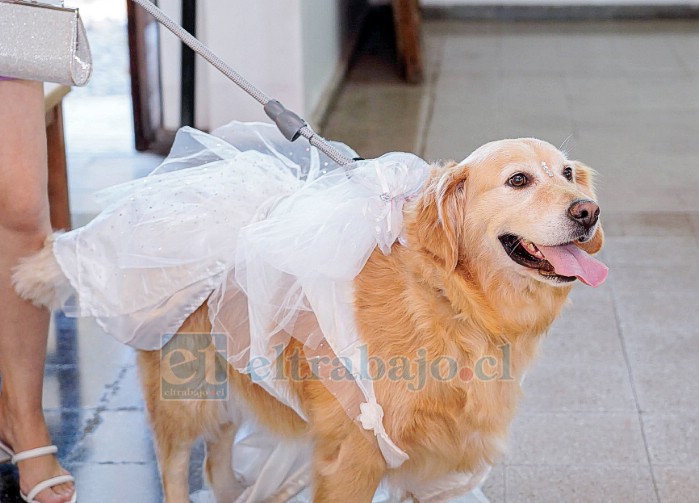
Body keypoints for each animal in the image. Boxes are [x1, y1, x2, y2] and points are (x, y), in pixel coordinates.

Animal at [16, 138, 608, 503]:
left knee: (216, 456)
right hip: (187, 391)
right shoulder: (355, 456)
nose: (588, 211)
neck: (446, 300)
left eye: (568, 173)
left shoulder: (439, 460)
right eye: (518, 180)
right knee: (177, 465)